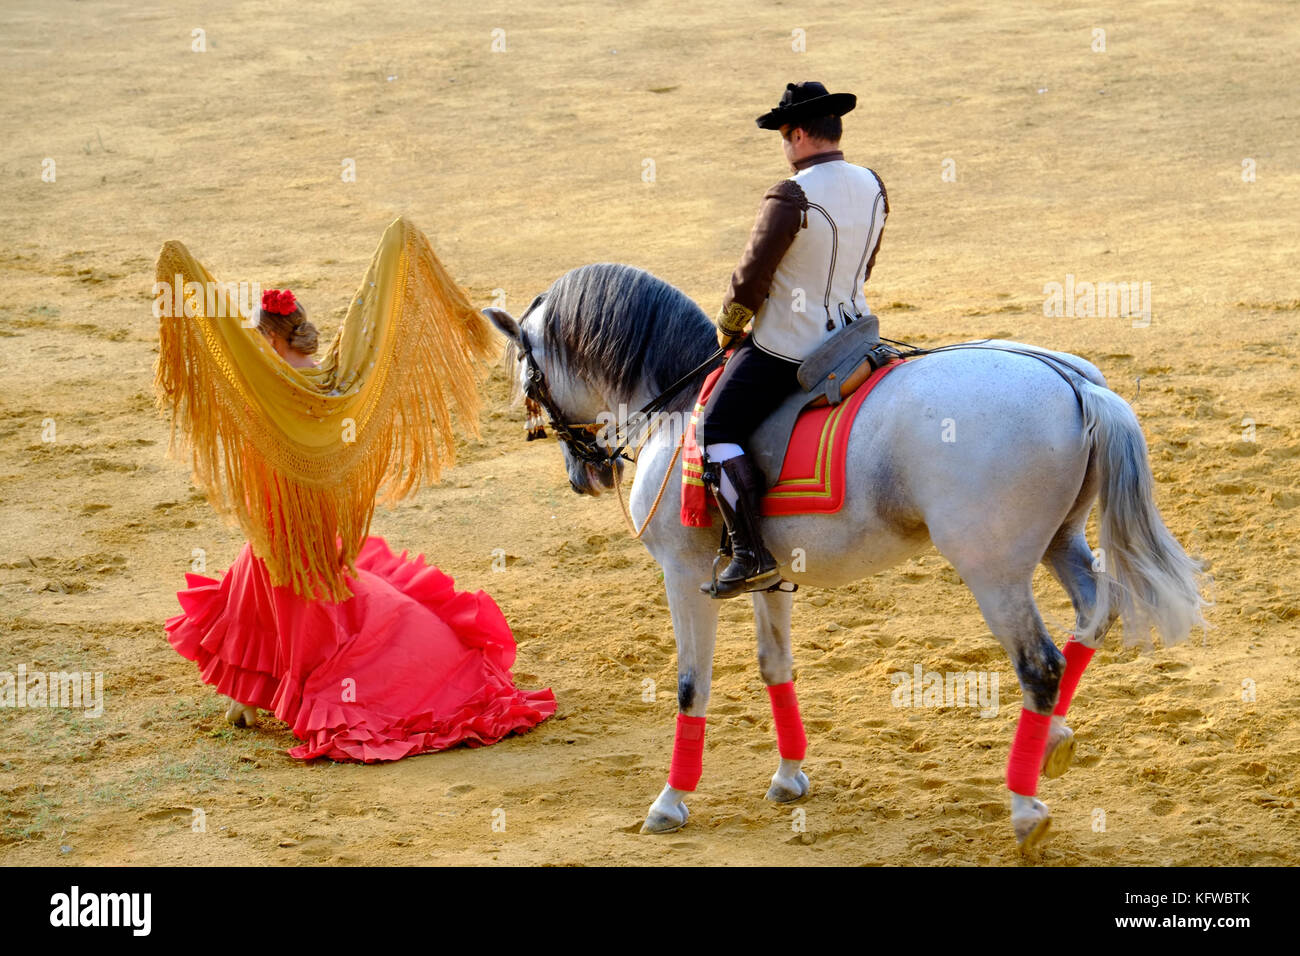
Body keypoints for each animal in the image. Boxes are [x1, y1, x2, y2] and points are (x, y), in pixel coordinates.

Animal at [488, 261, 1206, 853]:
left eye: (527, 380)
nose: (583, 475)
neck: (678, 404)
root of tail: (1073, 383)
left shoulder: (684, 574)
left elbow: (693, 683)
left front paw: (670, 802)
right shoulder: (767, 576)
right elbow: (775, 667)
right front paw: (789, 777)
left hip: (993, 571)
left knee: (1040, 665)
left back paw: (1026, 807)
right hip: (1063, 541)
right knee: (1094, 615)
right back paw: (1052, 741)